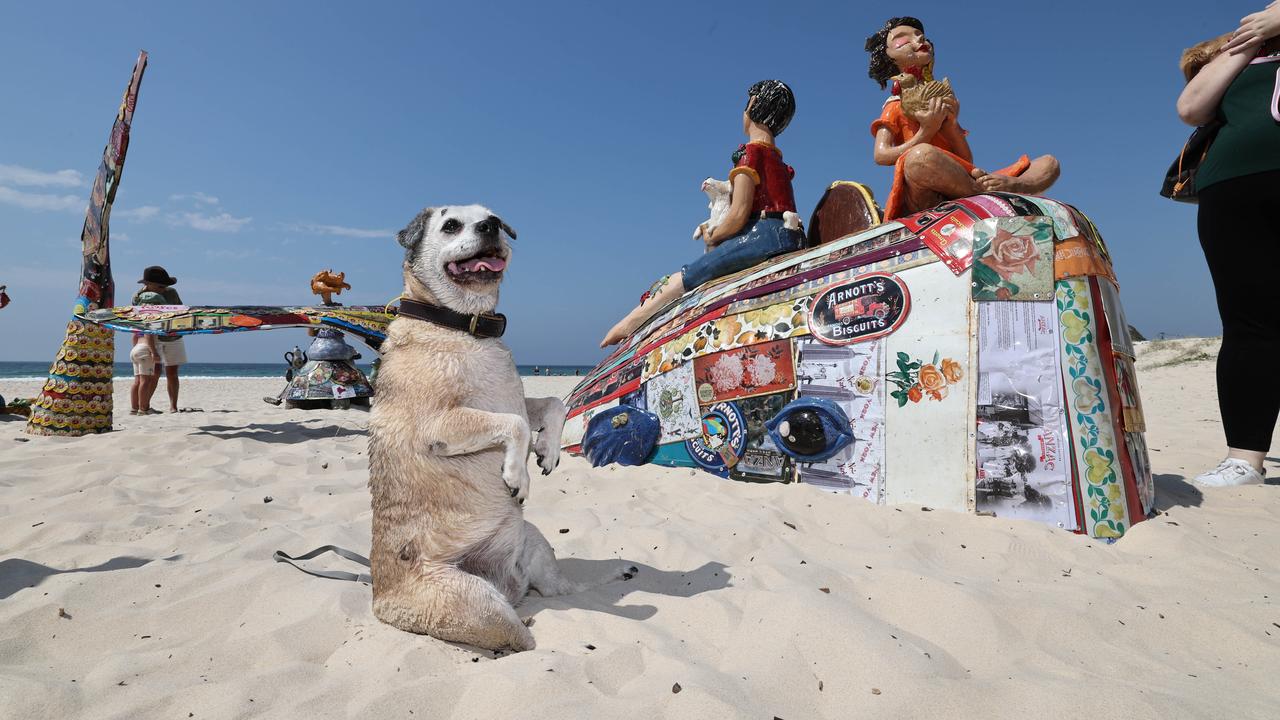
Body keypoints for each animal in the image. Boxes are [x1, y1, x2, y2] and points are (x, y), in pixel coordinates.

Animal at [368, 203, 632, 650]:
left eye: (493, 218)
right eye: (451, 225)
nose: (490, 227)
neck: (464, 324)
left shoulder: (518, 401)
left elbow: (553, 406)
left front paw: (548, 452)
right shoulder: (440, 424)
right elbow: (515, 425)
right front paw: (517, 473)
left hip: (535, 542)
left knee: (566, 590)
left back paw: (614, 577)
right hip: (480, 604)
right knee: (524, 643)